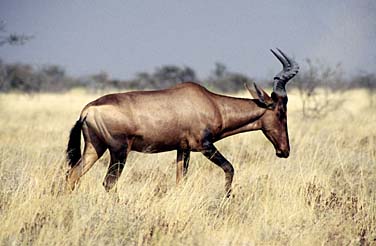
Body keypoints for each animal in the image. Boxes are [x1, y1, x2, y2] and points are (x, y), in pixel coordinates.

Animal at [65, 49, 300, 196]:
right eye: (281, 111)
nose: (284, 150)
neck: (210, 101)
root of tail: (87, 110)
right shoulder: (204, 146)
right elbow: (230, 168)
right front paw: (227, 198)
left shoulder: (182, 149)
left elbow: (180, 181)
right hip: (119, 151)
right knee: (109, 183)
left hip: (94, 148)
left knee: (73, 176)